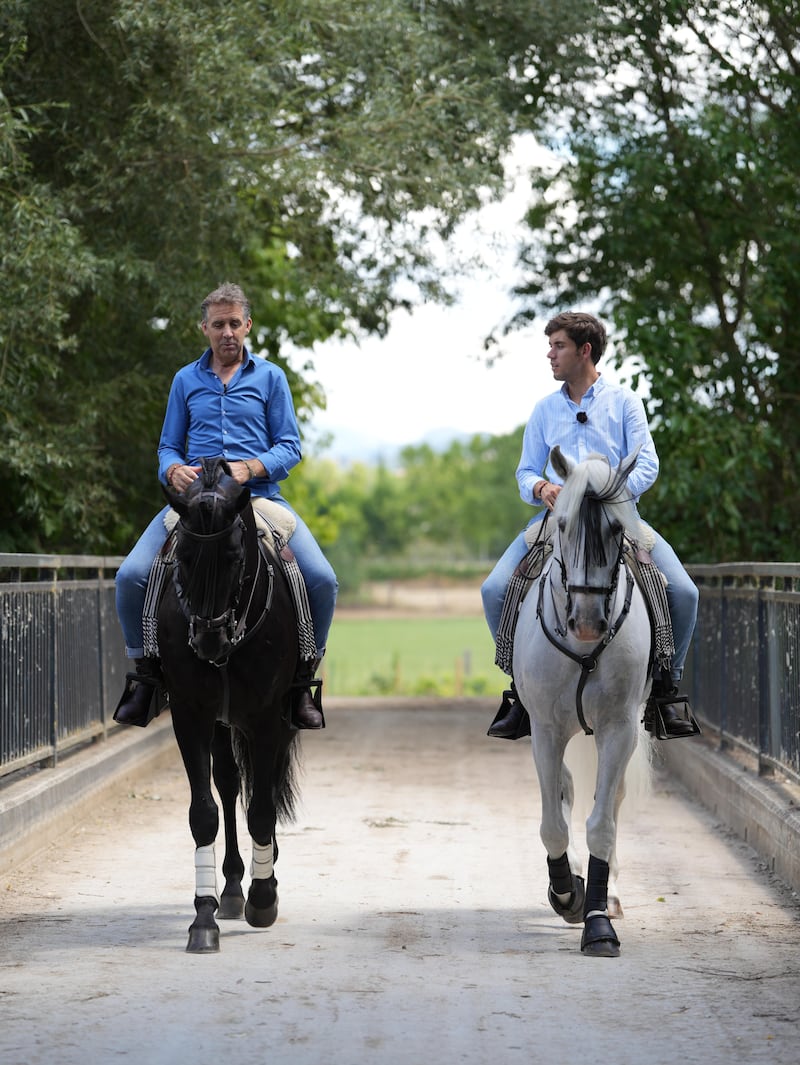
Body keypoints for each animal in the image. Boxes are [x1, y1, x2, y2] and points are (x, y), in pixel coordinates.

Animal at [158, 457, 300, 958]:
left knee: (266, 787)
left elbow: (262, 809)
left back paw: (261, 876)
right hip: (223, 723)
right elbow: (204, 814)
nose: (208, 641)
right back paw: (234, 887)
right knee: (230, 783)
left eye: (235, 559)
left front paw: (264, 899)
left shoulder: (268, 718)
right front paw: (204, 919)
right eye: (182, 557)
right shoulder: (191, 716)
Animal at [515, 445, 651, 962]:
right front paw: (566, 895)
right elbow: (553, 824)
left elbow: (602, 824)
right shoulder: (546, 732)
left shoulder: (618, 729)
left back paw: (608, 897)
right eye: (563, 523)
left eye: (615, 529)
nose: (589, 623)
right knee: (568, 791)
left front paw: (595, 920)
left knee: (608, 802)